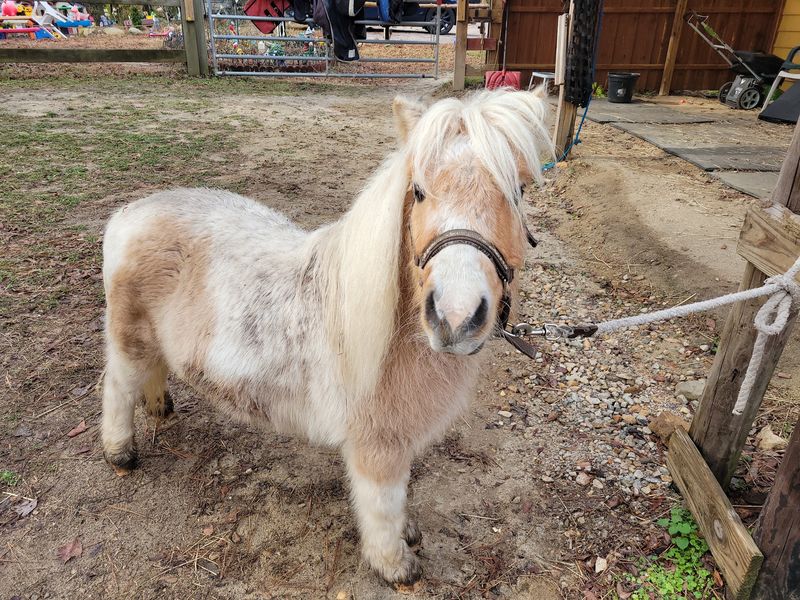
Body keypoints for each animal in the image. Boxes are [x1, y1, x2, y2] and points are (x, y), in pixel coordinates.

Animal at [100, 88, 552, 585]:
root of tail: (129, 215)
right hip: (130, 338)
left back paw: (159, 406)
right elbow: (381, 505)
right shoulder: (376, 446)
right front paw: (395, 564)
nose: (456, 317)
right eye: (418, 191)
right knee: (118, 386)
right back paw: (120, 453)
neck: (396, 333)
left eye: (518, 191)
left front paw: (407, 533)